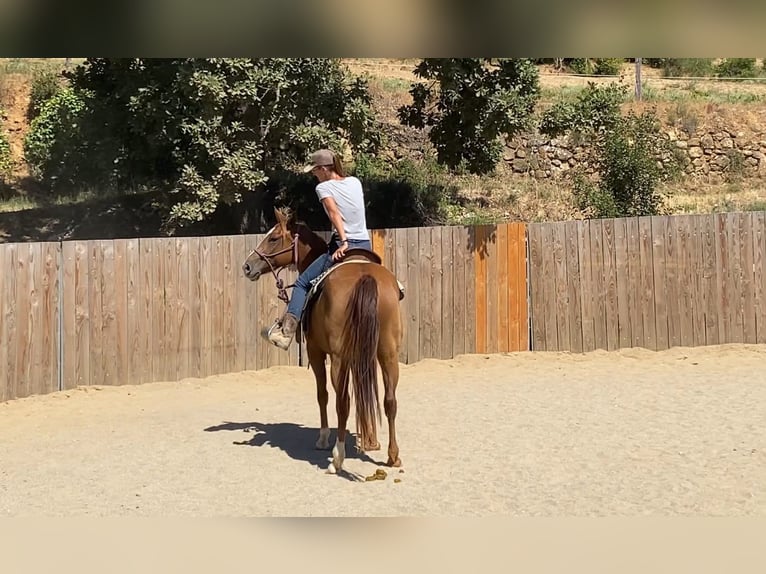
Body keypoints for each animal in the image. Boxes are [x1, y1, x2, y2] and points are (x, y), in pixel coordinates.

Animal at [241, 207, 404, 474]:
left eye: (273, 238)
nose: (247, 266)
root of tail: (365, 277)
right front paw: (370, 440)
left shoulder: (317, 353)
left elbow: (322, 394)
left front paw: (323, 437)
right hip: (388, 353)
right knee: (389, 400)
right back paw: (393, 456)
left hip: (339, 358)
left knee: (342, 401)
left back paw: (337, 457)